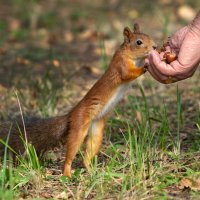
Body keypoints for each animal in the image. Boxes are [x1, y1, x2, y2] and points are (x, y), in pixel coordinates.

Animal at [0, 22, 156, 177]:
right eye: (139, 42)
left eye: (148, 36)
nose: (154, 47)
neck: (129, 54)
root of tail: (71, 115)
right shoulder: (121, 64)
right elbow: (128, 73)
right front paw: (145, 66)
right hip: (79, 125)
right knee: (71, 153)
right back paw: (68, 173)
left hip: (97, 130)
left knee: (88, 153)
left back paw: (91, 170)